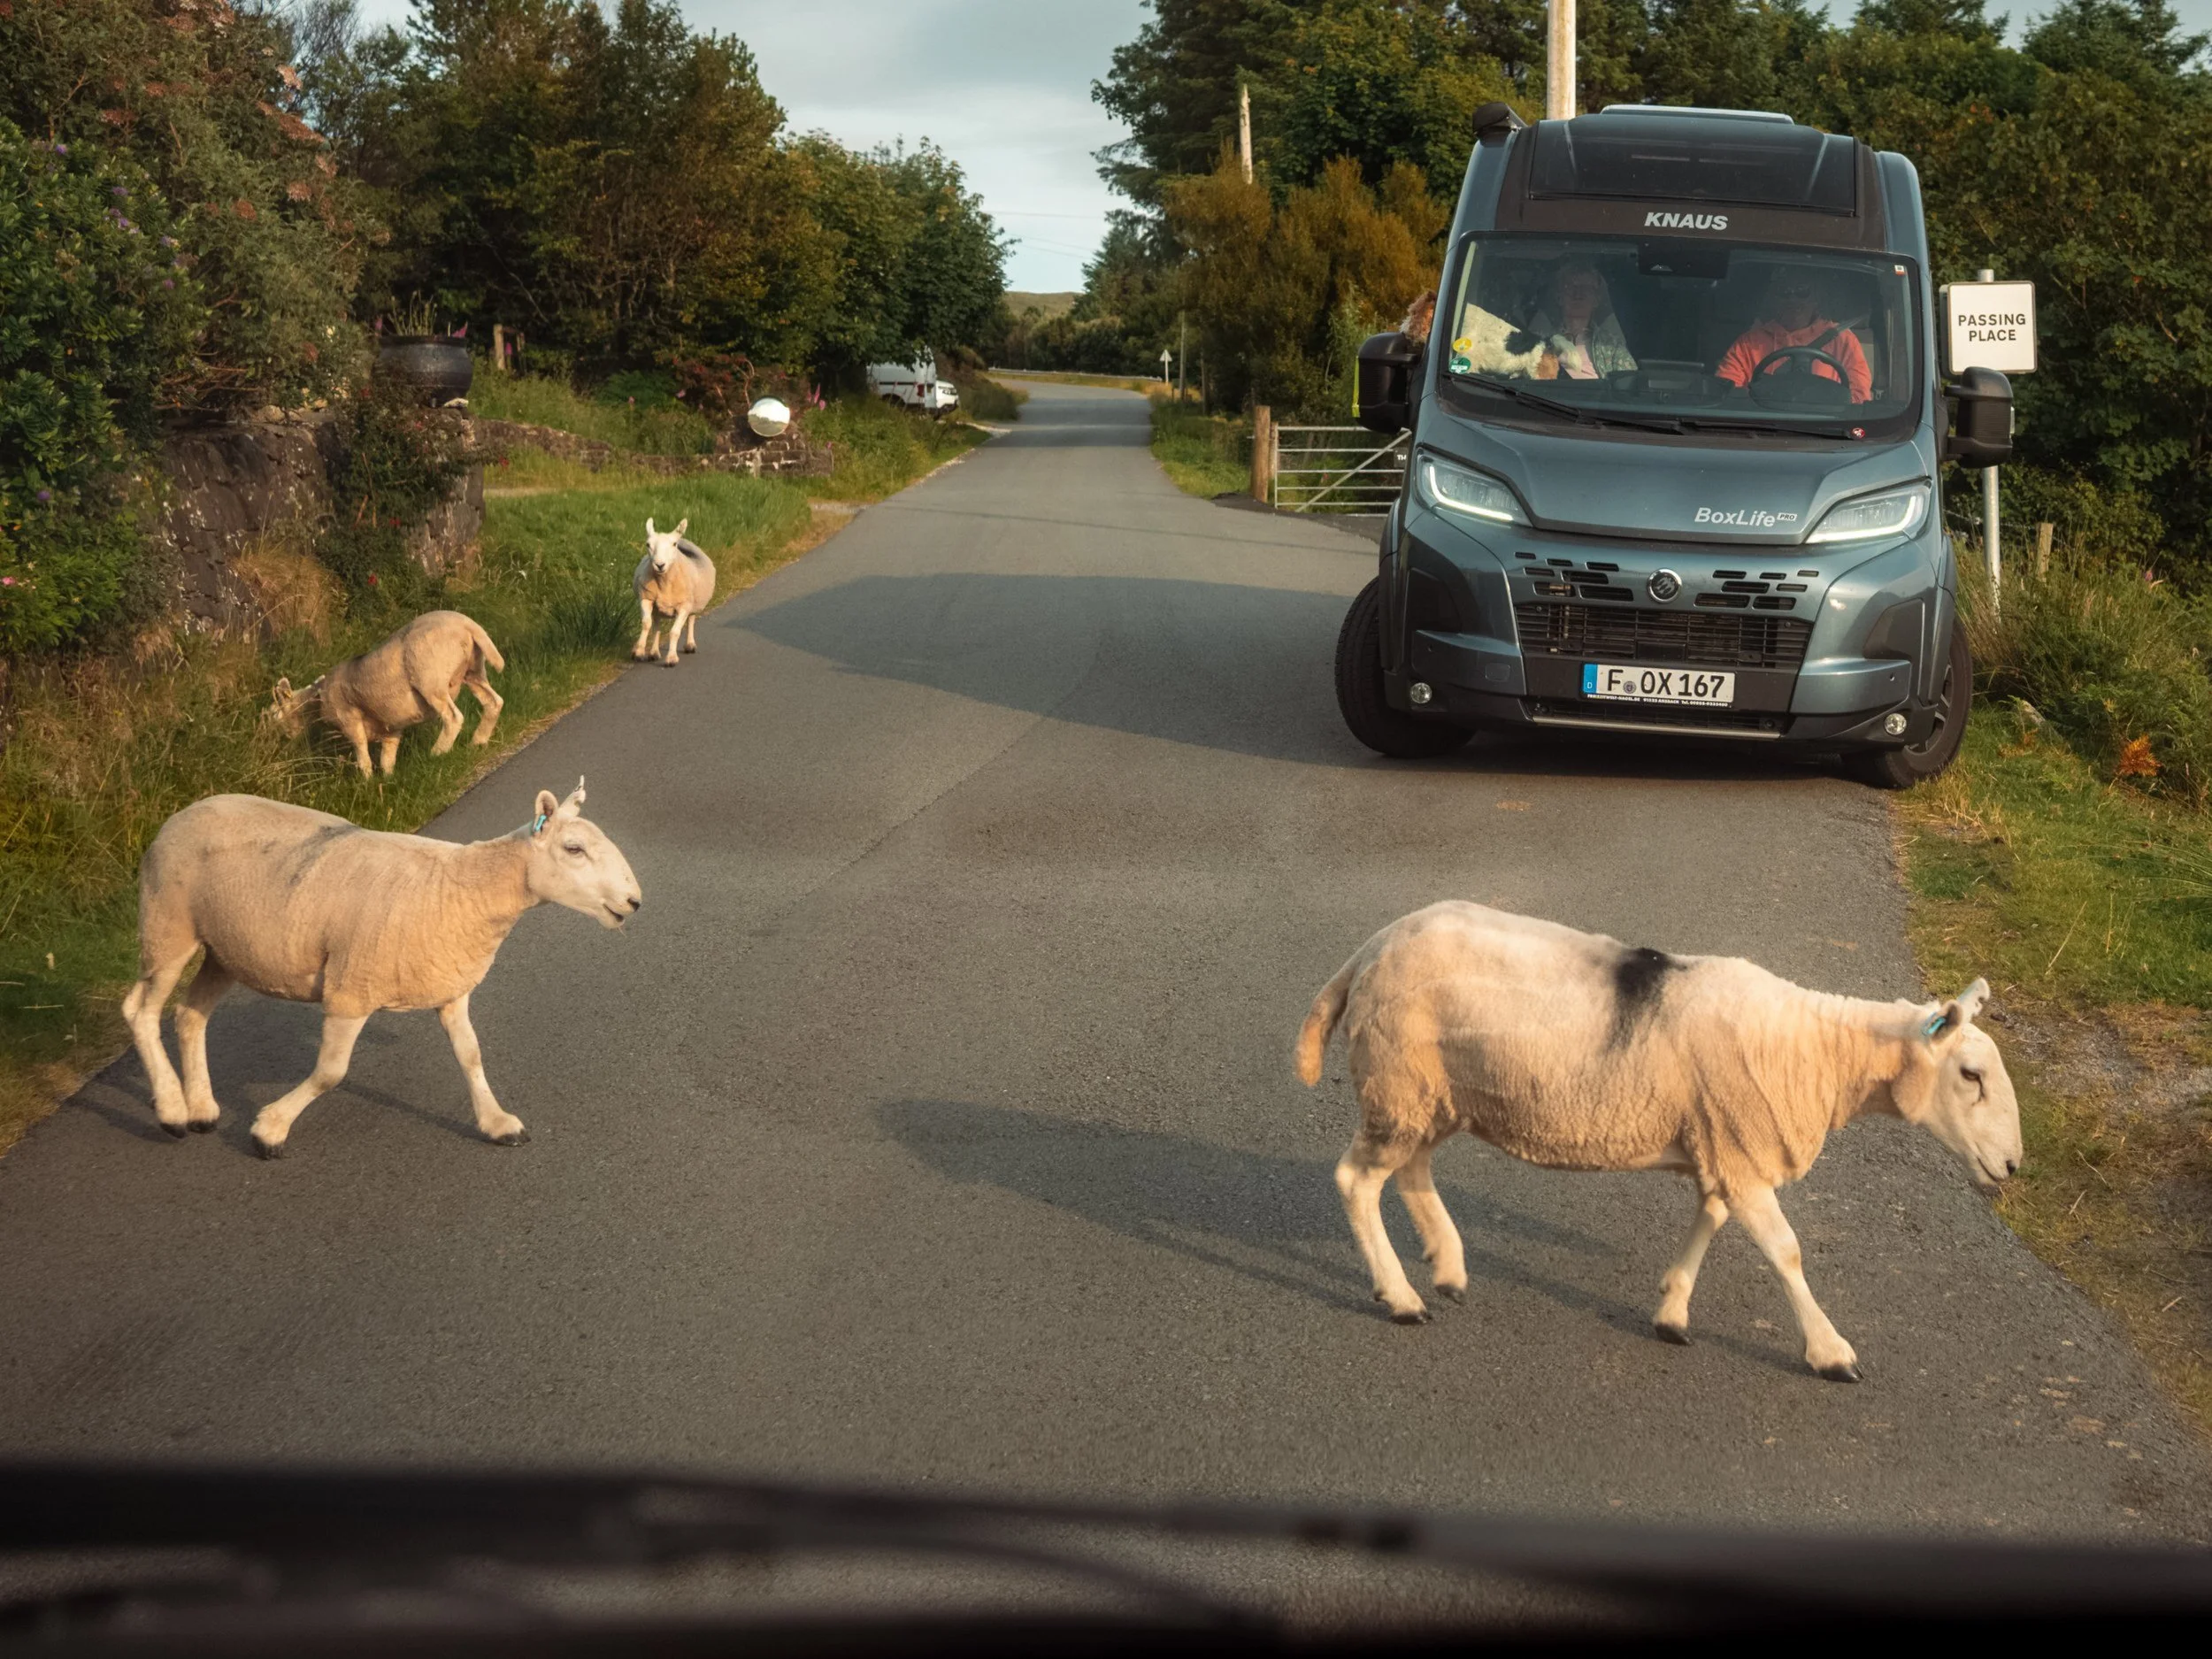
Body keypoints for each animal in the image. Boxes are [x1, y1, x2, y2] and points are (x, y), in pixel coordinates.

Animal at [122, 778, 641, 1159]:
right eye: (573, 850)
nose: (635, 902)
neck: (469, 887)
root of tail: (183, 811)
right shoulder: (351, 989)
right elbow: (331, 1073)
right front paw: (270, 1130)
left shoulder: (450, 988)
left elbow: (471, 1056)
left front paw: (497, 1124)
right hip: (169, 925)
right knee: (140, 1010)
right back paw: (172, 1111)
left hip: (226, 949)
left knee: (190, 1015)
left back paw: (202, 1109)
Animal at [269, 610, 506, 777]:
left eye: (273, 715)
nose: (279, 749)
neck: (317, 699)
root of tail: (467, 624)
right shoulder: (391, 726)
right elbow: (387, 759)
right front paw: (388, 780)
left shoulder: (349, 719)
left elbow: (362, 754)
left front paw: (366, 783)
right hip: (473, 669)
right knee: (494, 702)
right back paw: (478, 741)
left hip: (431, 679)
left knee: (453, 717)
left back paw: (437, 753)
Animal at [632, 517, 717, 666]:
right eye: (648, 544)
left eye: (673, 544)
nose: (659, 565)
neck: (664, 583)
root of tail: (684, 540)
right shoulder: (646, 598)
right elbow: (646, 624)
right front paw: (639, 652)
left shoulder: (684, 606)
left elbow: (674, 632)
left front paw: (671, 658)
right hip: (657, 606)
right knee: (657, 625)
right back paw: (654, 652)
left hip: (693, 602)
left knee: (691, 619)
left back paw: (690, 645)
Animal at [1295, 902, 2021, 1382]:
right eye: (1971, 1075)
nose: (2013, 1165)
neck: (1817, 1052)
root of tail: (1369, 951)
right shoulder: (1741, 1145)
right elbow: (1785, 1251)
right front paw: (1831, 1352)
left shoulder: (1724, 1140)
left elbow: (1712, 1215)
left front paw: (1672, 1311)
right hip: (1402, 1079)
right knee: (1358, 1181)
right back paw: (1402, 1298)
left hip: (1428, 1089)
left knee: (1411, 1167)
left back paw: (1446, 1266)